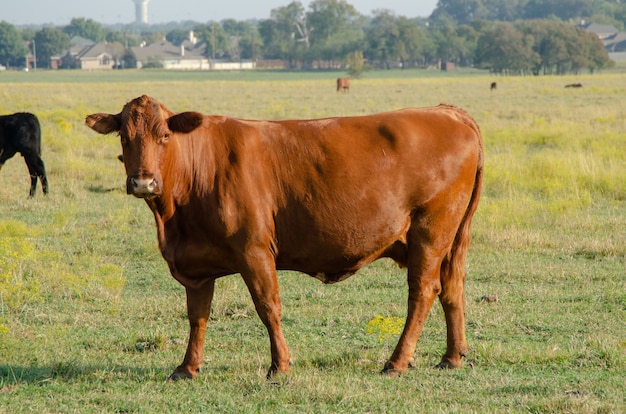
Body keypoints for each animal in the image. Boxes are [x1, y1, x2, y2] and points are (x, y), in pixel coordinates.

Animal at [84, 95, 482, 380]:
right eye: (124, 137)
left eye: (164, 136)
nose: (143, 182)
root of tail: (448, 112)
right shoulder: (197, 264)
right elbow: (197, 316)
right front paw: (187, 368)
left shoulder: (254, 250)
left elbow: (268, 307)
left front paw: (279, 366)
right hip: (451, 239)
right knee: (452, 287)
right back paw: (451, 357)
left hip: (430, 232)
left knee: (423, 292)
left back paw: (397, 361)